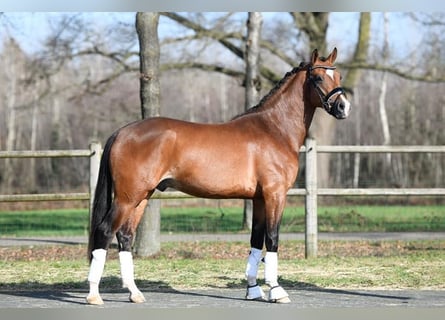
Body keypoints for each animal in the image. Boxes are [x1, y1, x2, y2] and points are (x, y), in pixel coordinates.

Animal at [86, 47, 350, 304]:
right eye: (318, 77)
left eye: (338, 76)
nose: (343, 107)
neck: (274, 129)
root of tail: (122, 132)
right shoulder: (275, 195)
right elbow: (272, 239)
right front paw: (276, 291)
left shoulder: (259, 199)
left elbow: (256, 241)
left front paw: (253, 290)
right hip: (127, 198)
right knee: (104, 231)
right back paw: (94, 295)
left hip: (141, 197)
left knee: (125, 236)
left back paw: (135, 293)